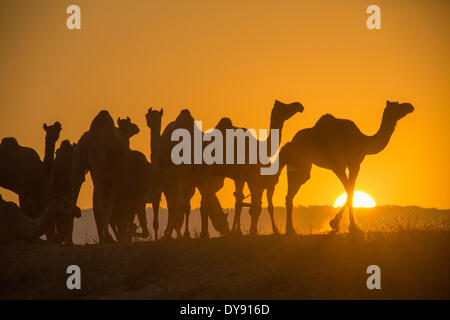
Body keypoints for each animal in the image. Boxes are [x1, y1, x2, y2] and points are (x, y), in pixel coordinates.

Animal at [70, 110, 129, 242]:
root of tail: (87, 143)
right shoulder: (116, 178)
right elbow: (112, 206)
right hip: (99, 161)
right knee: (99, 202)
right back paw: (108, 237)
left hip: (78, 164)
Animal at [210, 100, 302, 235]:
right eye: (284, 108)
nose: (299, 106)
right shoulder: (245, 177)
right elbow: (245, 204)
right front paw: (242, 232)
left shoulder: (248, 179)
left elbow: (248, 204)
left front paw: (246, 232)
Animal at [282, 100, 414, 235]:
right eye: (397, 105)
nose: (409, 106)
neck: (363, 141)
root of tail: (291, 143)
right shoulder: (342, 166)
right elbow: (350, 191)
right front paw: (346, 226)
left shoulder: (351, 165)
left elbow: (350, 191)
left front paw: (339, 224)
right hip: (298, 162)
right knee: (291, 192)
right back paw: (290, 230)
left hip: (304, 164)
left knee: (292, 192)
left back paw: (290, 230)